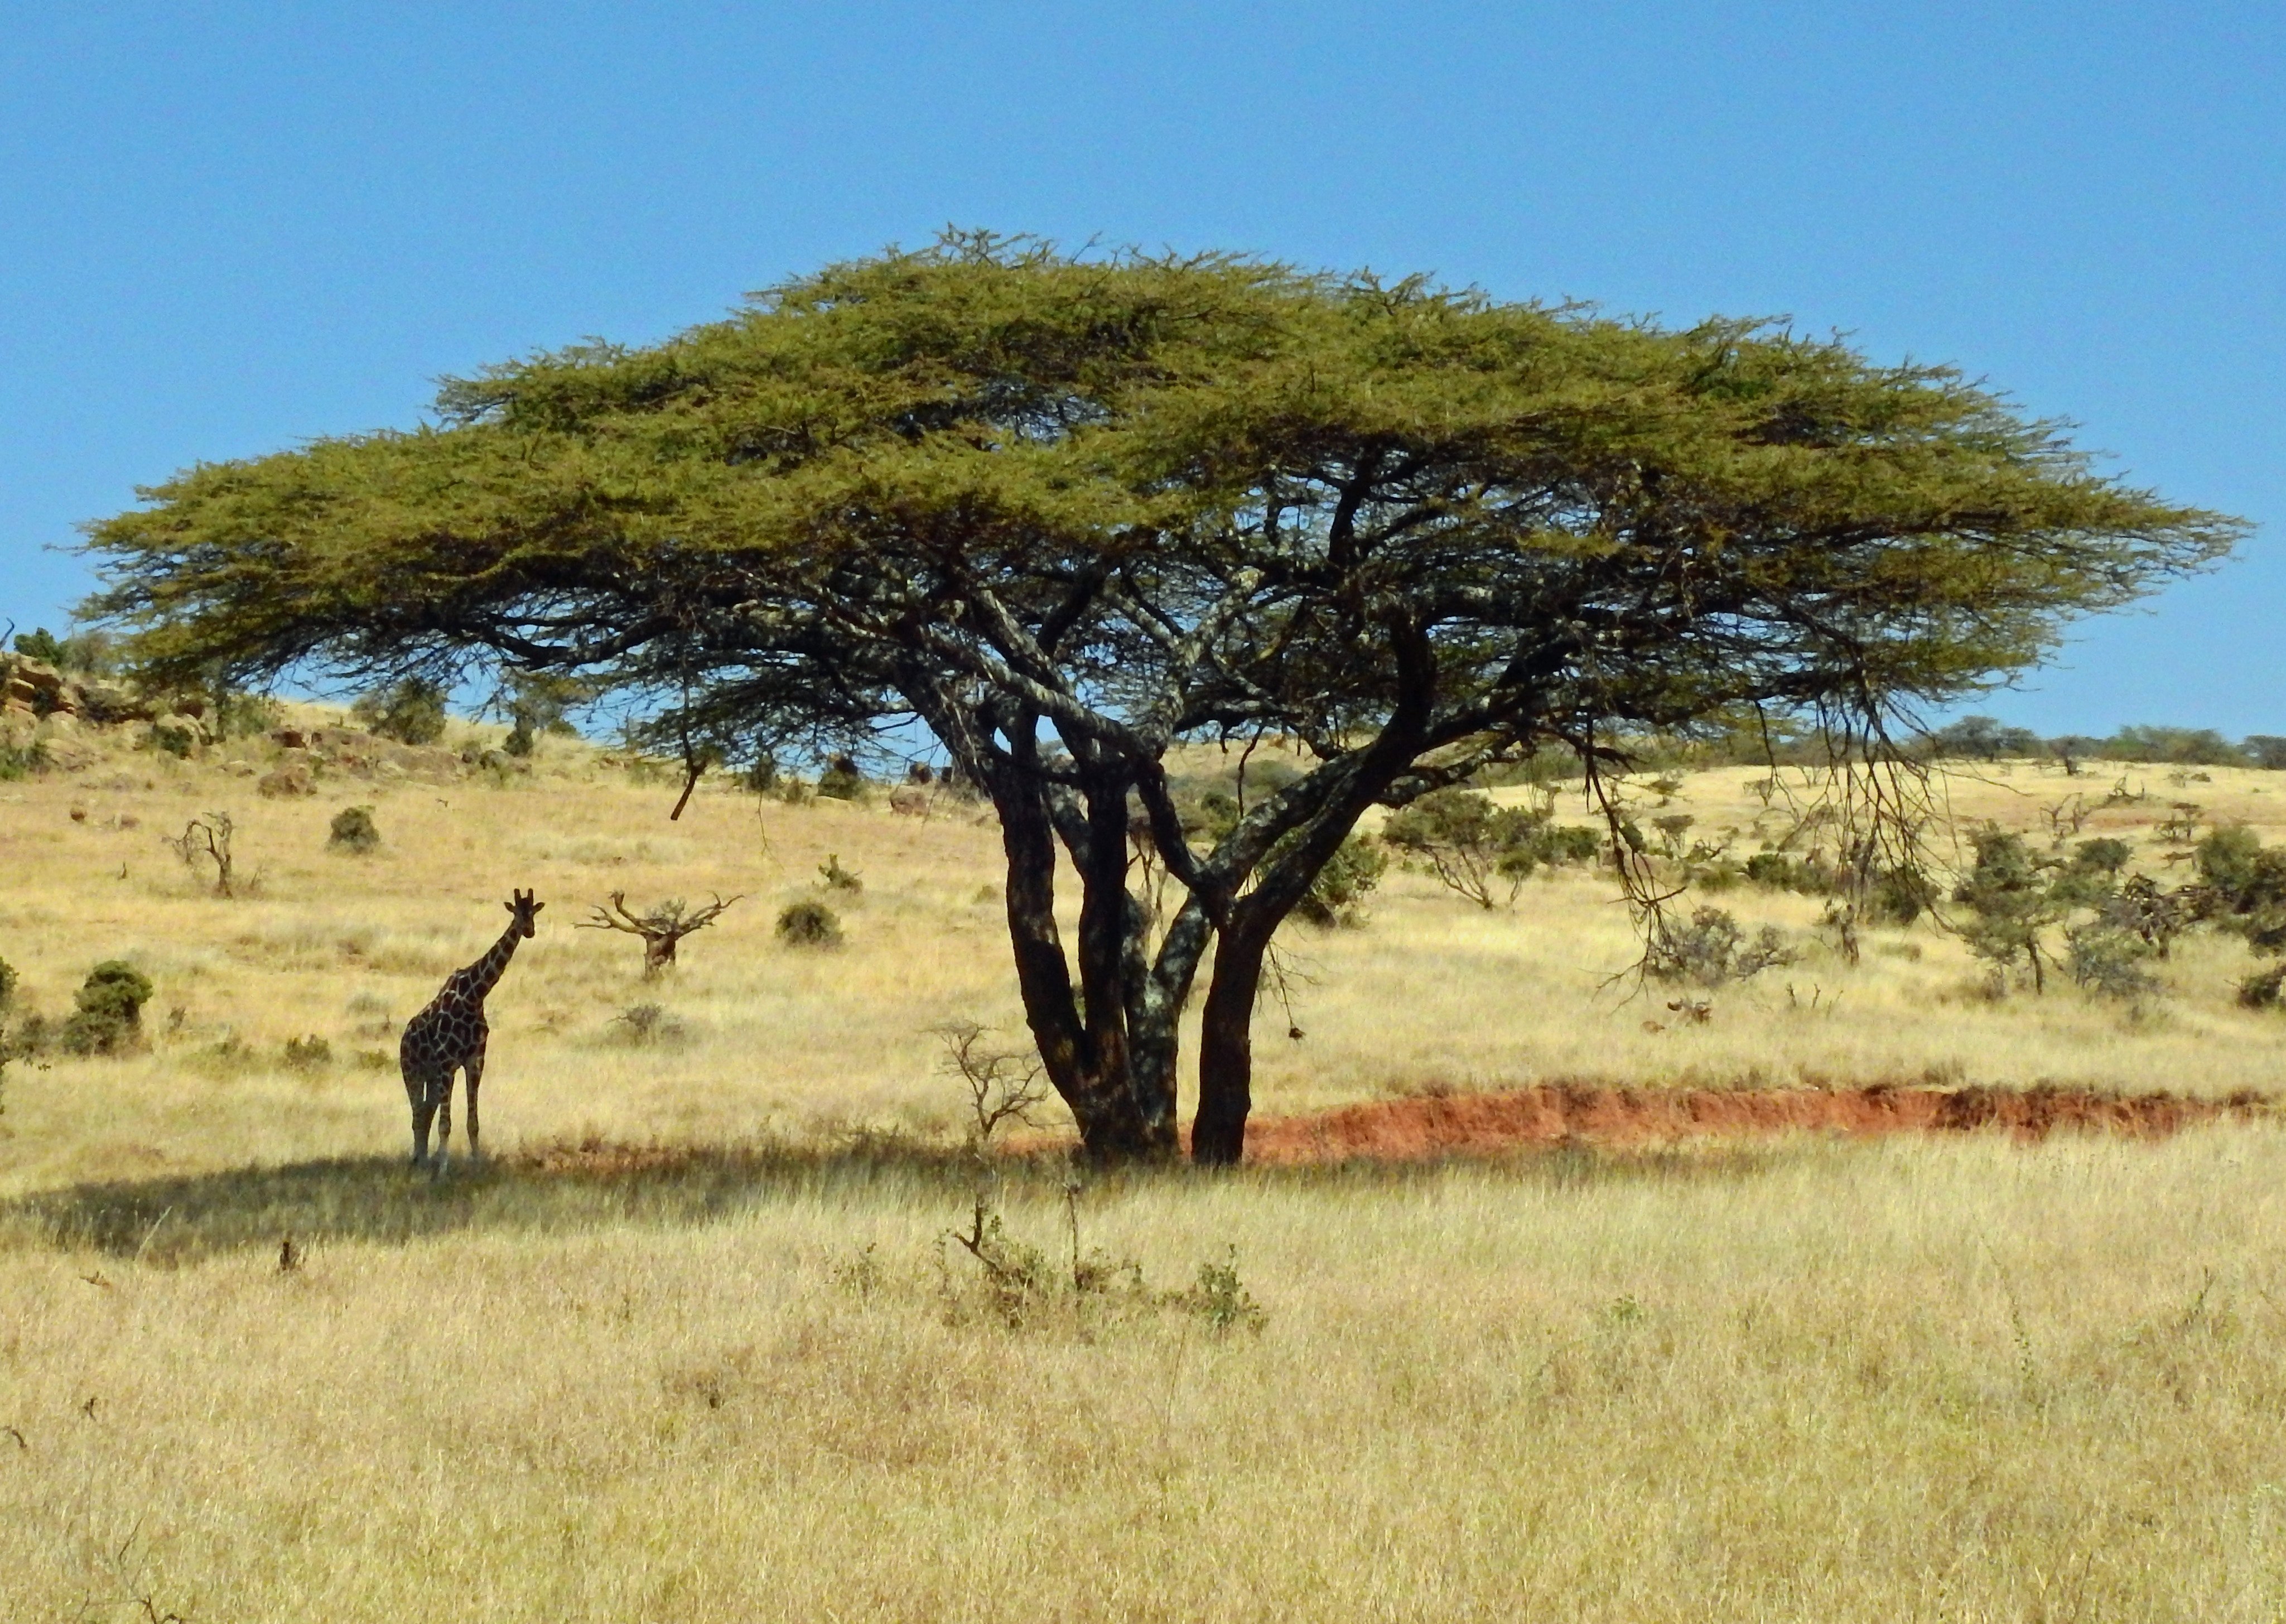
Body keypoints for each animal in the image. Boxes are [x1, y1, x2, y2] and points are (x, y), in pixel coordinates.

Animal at [400, 892, 542, 1171]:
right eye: (517, 913)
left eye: (533, 912)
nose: (529, 931)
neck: (474, 997)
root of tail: (403, 1038)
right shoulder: (448, 1062)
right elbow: (445, 1124)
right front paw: (443, 1169)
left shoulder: (475, 1061)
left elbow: (473, 1122)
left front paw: (477, 1164)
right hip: (412, 1072)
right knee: (417, 1114)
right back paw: (419, 1161)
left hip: (432, 1077)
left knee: (425, 1113)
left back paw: (423, 1159)